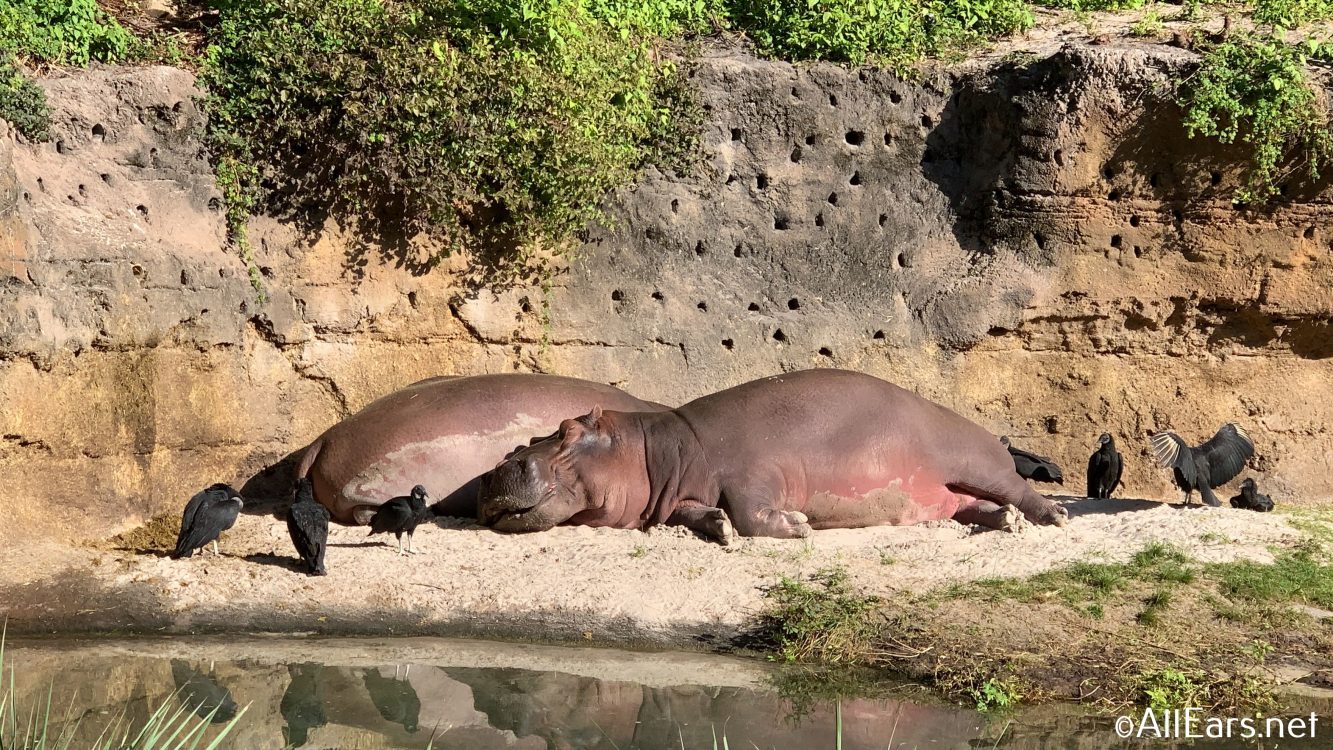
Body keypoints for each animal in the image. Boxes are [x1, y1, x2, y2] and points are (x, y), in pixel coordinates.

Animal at [479, 367, 1071, 540]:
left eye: (564, 431)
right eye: (525, 441)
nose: (498, 467)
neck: (655, 449)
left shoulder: (753, 472)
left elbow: (750, 510)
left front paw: (797, 526)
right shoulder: (679, 496)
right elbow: (696, 512)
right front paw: (717, 526)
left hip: (973, 459)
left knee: (1019, 487)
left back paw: (1050, 517)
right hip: (945, 492)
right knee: (974, 506)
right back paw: (1005, 522)